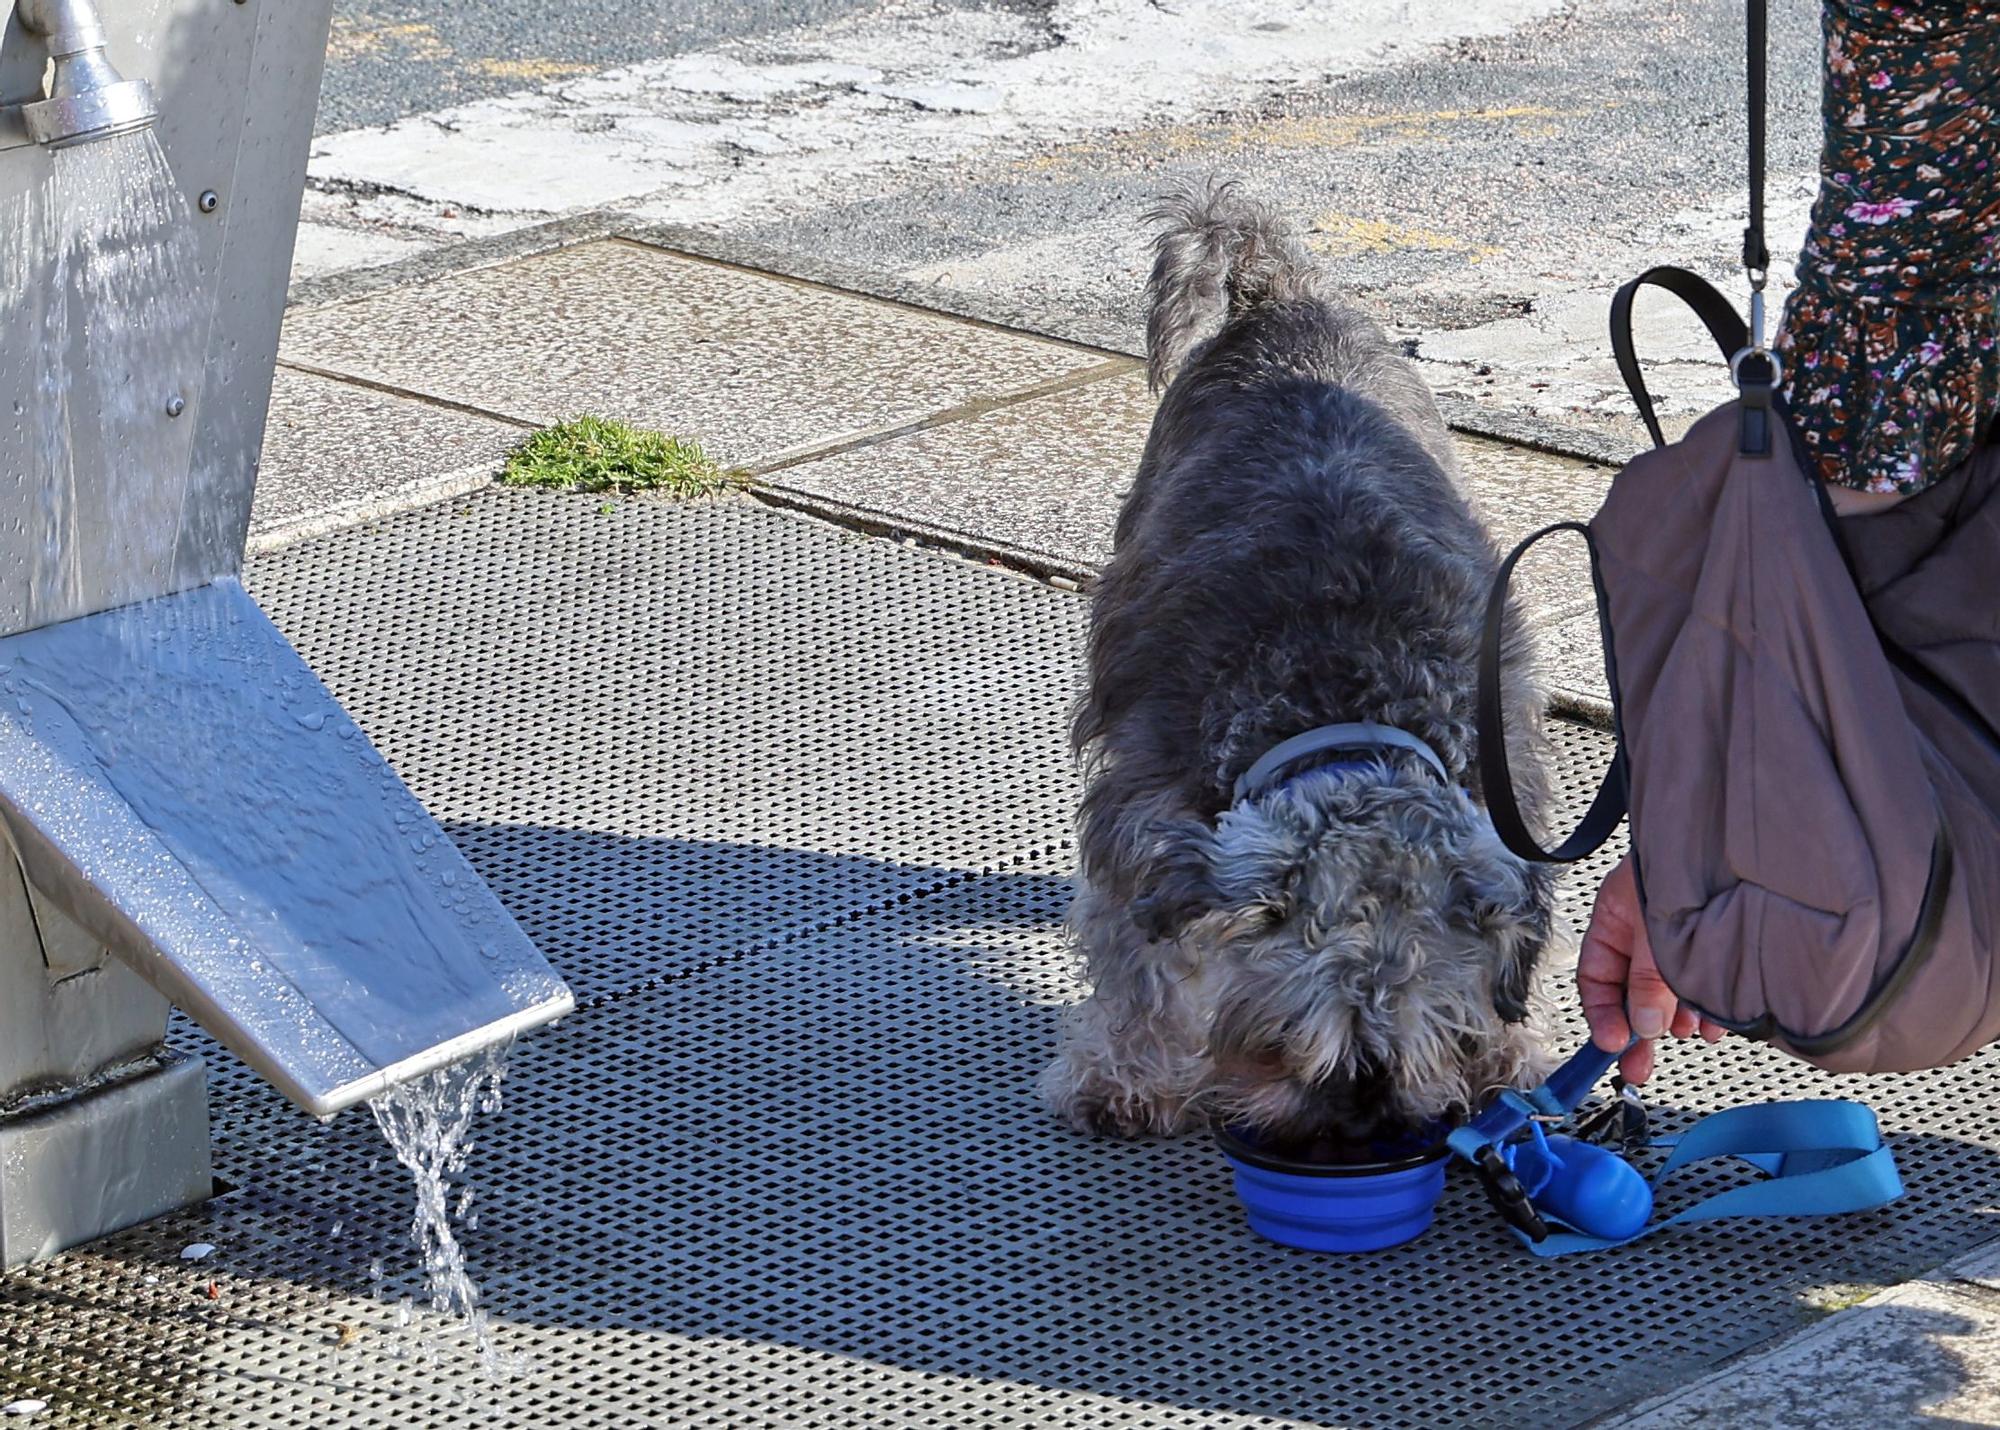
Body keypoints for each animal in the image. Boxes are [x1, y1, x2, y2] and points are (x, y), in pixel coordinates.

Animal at [1040, 185, 1552, 1160]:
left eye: (1440, 1032)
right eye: (1280, 1040)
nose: (1356, 1121)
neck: (1343, 695)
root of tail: (1279, 293)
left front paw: (1510, 1055)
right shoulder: (1142, 811)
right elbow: (1136, 955)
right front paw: (1129, 1075)